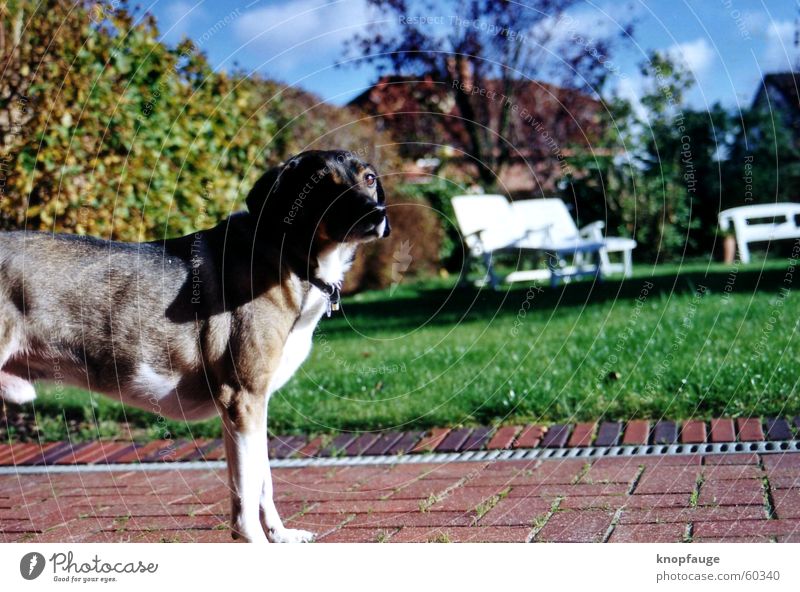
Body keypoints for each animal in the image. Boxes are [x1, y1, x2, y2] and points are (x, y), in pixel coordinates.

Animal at [0, 149, 390, 540]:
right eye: (321, 184)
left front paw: (279, 535)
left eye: (369, 179)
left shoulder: (246, 407)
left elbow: (262, 480)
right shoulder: (243, 399)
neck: (288, 257)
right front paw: (255, 540)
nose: (376, 214)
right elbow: (248, 491)